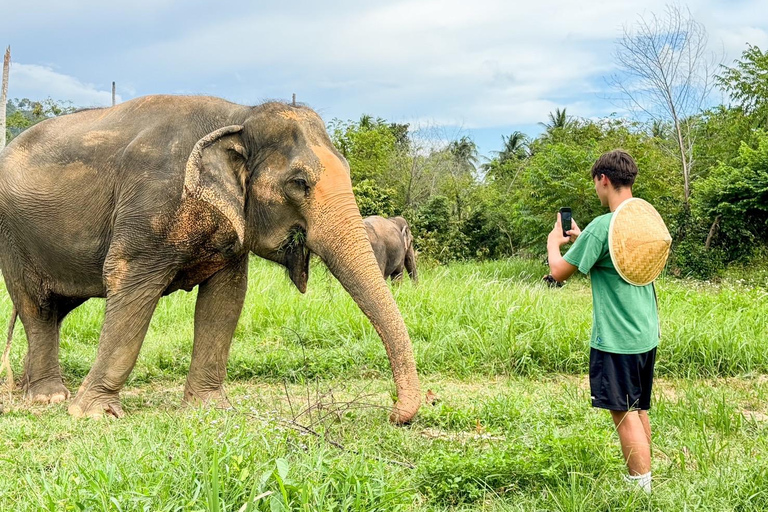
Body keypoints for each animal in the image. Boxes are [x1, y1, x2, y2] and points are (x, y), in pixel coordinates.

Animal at [0, 95, 421, 423]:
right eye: (299, 183)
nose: (394, 413)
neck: (240, 115)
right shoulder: (149, 208)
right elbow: (127, 281)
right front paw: (94, 414)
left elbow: (225, 299)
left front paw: (210, 409)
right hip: (13, 239)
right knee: (38, 308)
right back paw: (49, 397)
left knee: (55, 310)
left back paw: (33, 389)